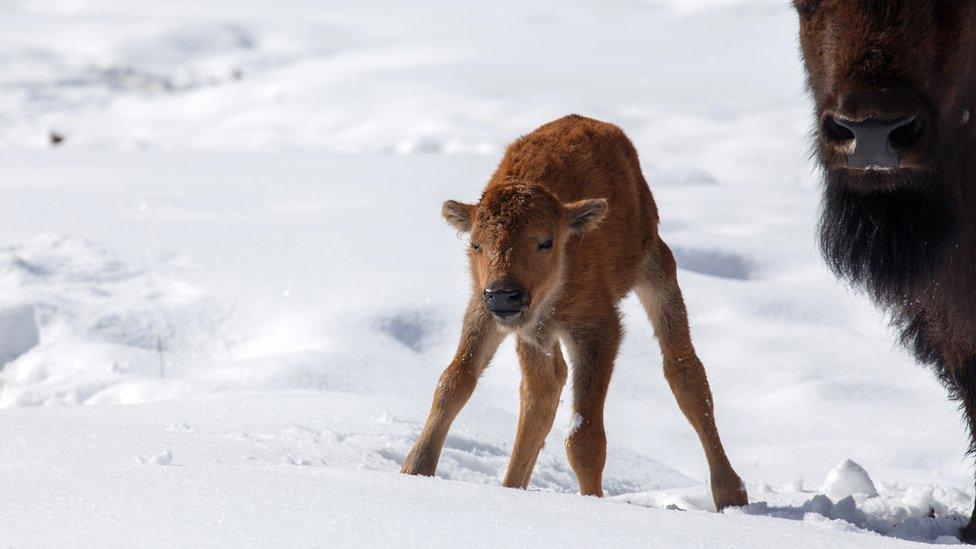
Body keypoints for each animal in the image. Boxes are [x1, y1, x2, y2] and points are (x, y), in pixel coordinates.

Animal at [400, 114, 752, 510]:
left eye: (546, 241)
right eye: (476, 244)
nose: (505, 296)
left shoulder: (597, 329)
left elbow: (584, 436)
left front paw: (593, 500)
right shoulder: (487, 313)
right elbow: (453, 382)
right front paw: (414, 470)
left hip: (656, 268)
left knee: (685, 372)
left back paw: (731, 494)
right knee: (541, 393)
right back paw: (511, 486)